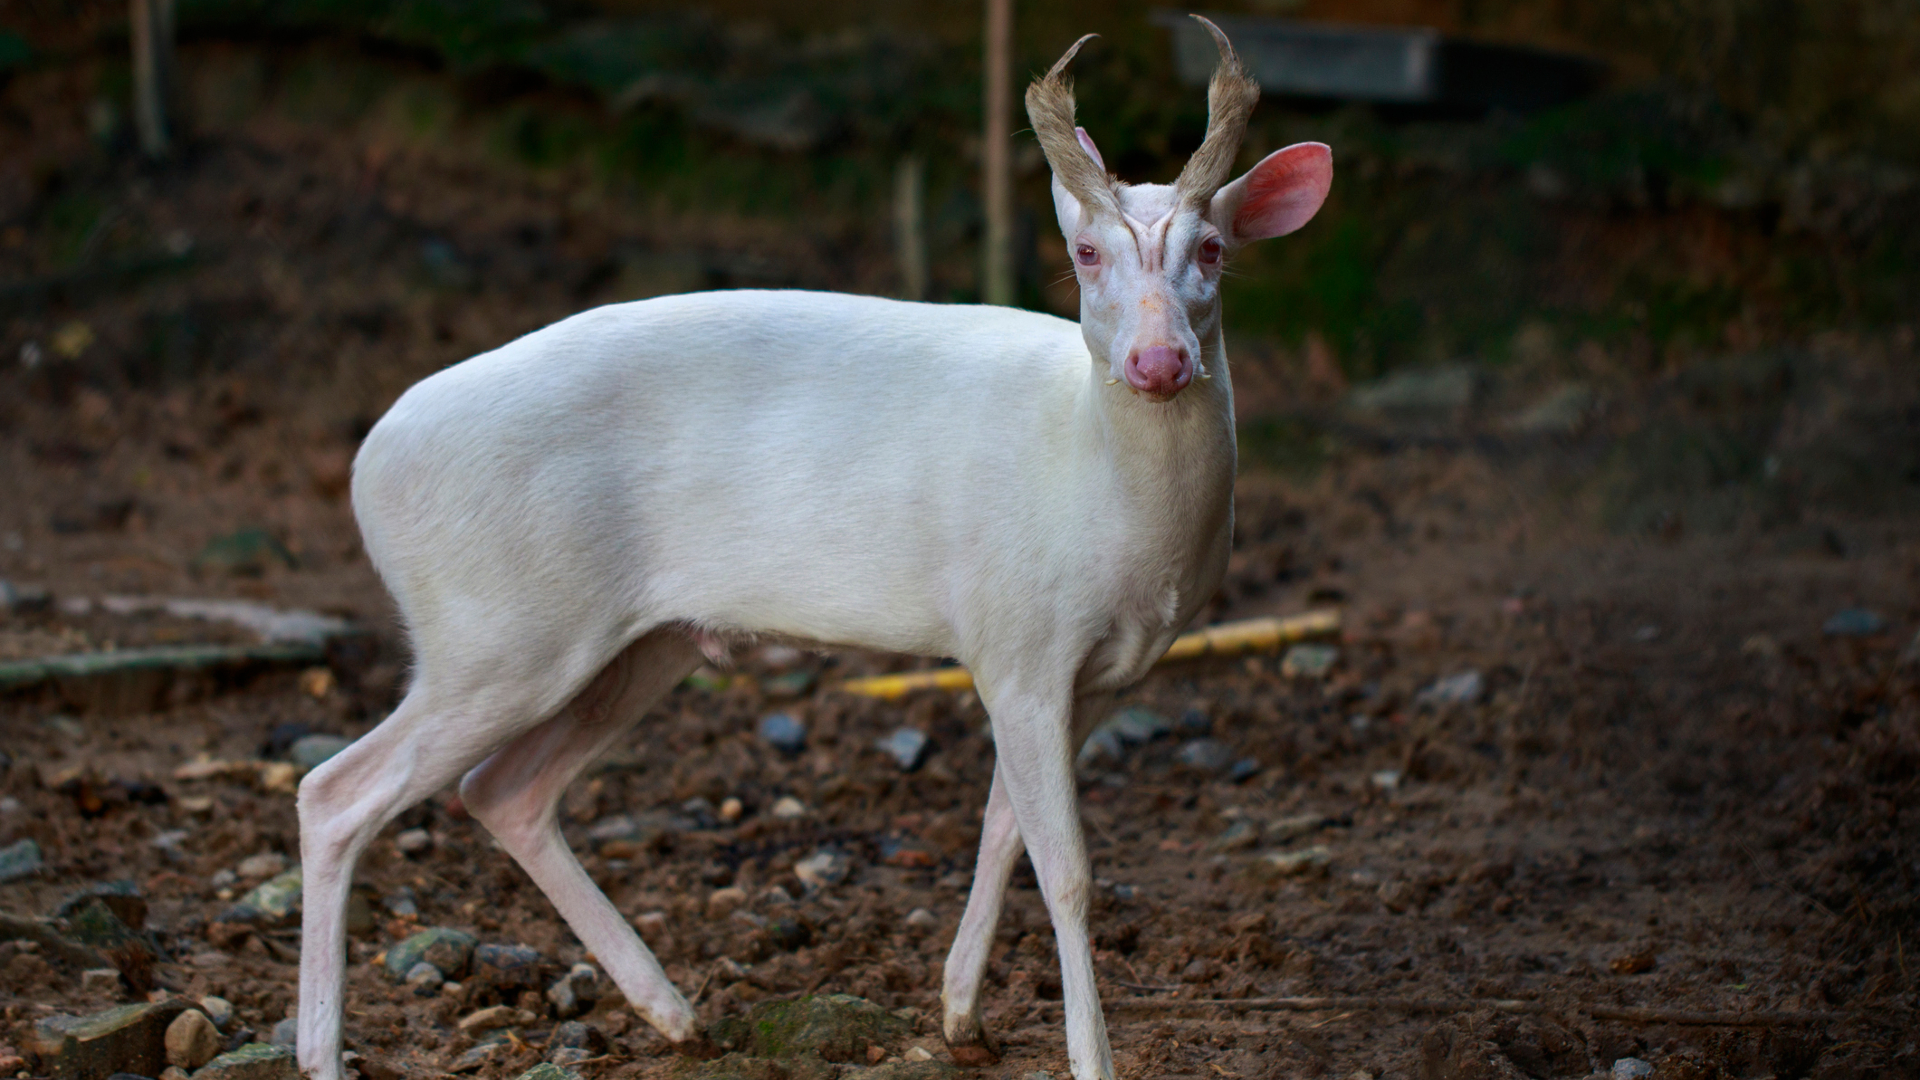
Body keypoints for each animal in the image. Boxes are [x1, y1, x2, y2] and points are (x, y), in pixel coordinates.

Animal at [299, 21, 1328, 1076]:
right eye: (1084, 252)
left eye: (1213, 247)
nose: (1158, 363)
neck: (1102, 499)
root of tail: (368, 470)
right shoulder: (1017, 640)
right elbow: (1069, 870)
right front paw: (1089, 1059)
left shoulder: (1105, 674)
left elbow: (1002, 830)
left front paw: (961, 1014)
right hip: (493, 625)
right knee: (334, 791)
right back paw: (324, 1050)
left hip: (632, 640)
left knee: (503, 789)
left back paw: (674, 1011)